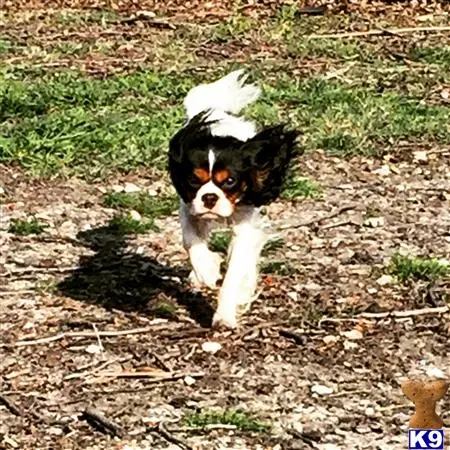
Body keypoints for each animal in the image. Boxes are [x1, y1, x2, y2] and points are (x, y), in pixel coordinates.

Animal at [167, 71, 298, 330]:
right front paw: (206, 270)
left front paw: (224, 315)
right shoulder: (189, 208)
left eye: (229, 181)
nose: (209, 197)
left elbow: (234, 273)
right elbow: (192, 242)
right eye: (193, 180)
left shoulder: (246, 226)